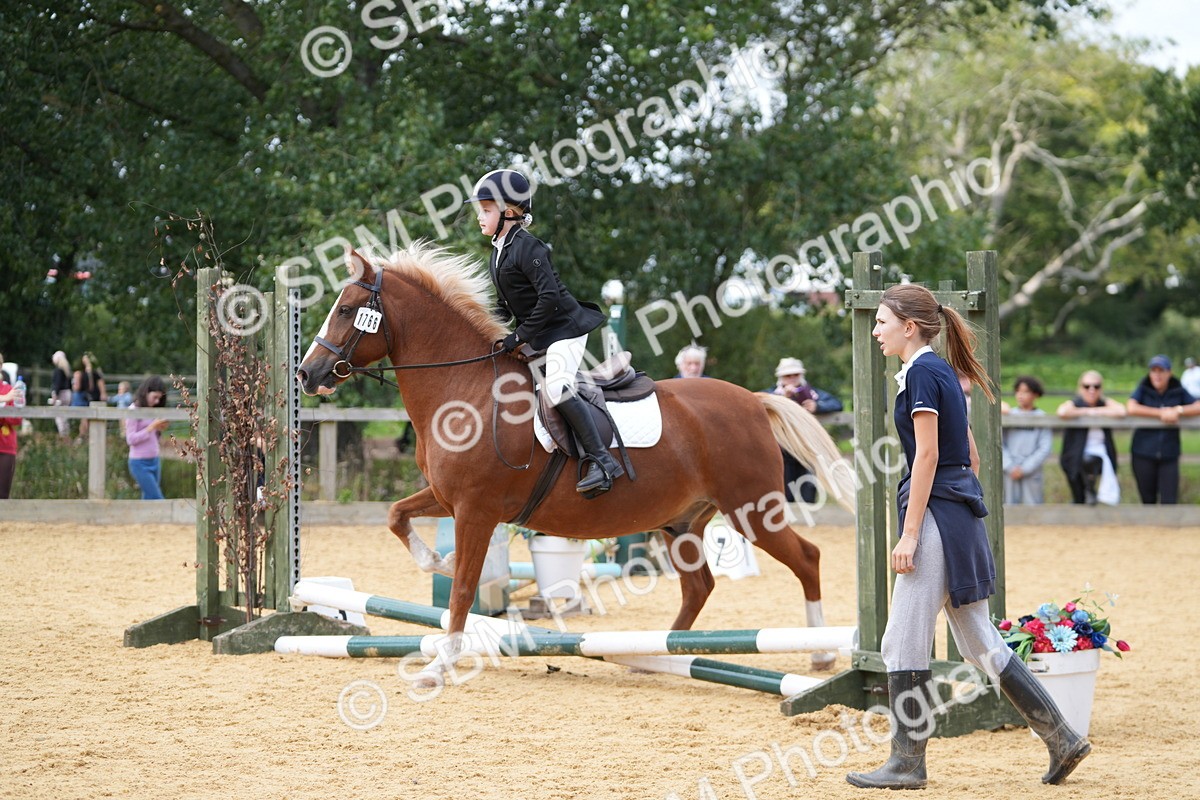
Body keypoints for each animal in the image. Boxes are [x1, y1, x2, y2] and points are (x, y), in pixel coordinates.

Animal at [297, 245, 856, 685]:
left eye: (347, 309)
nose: (306, 374)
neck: (464, 390)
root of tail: (753, 402)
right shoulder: (446, 497)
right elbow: (398, 517)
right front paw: (437, 561)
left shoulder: (476, 510)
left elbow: (461, 593)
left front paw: (441, 664)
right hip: (681, 521)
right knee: (699, 586)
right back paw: (657, 654)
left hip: (752, 509)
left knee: (806, 559)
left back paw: (821, 652)